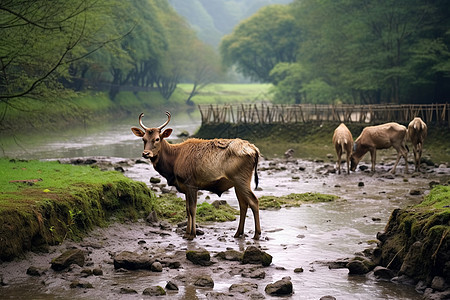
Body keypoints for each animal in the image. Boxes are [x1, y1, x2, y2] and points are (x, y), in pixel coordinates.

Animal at [130, 111, 262, 240]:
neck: (174, 162)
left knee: (254, 201)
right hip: (237, 182)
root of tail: (255, 150)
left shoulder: (191, 183)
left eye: (157, 139)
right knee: (243, 204)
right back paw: (238, 233)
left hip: (241, 178)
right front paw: (187, 233)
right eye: (143, 139)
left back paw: (256, 234)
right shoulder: (185, 186)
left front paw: (192, 234)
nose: (146, 153)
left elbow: (193, 209)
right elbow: (187, 209)